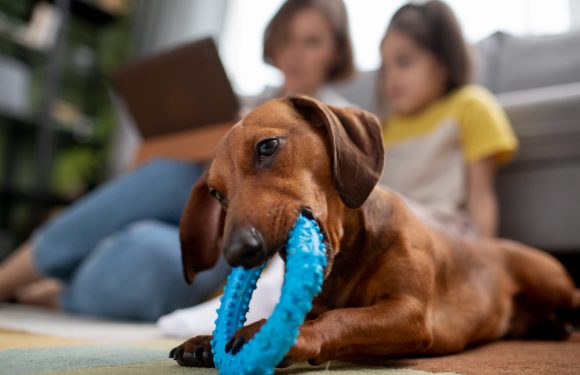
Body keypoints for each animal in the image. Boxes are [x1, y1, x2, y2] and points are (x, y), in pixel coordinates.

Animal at [170, 95, 576, 368]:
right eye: (217, 194)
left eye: (267, 146)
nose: (237, 252)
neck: (350, 256)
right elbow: (321, 312)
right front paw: (206, 340)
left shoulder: (410, 313)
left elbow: (340, 318)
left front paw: (274, 333)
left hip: (551, 283)